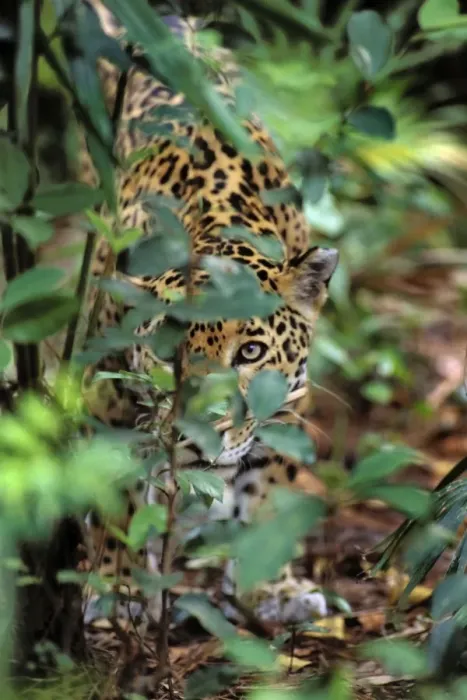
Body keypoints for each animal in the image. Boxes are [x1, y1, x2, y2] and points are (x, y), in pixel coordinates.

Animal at [74, 1, 338, 638]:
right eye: (167, 350)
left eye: (251, 353)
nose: (201, 436)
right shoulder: (106, 393)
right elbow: (115, 497)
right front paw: (116, 590)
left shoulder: (284, 404)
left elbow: (266, 495)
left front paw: (272, 589)